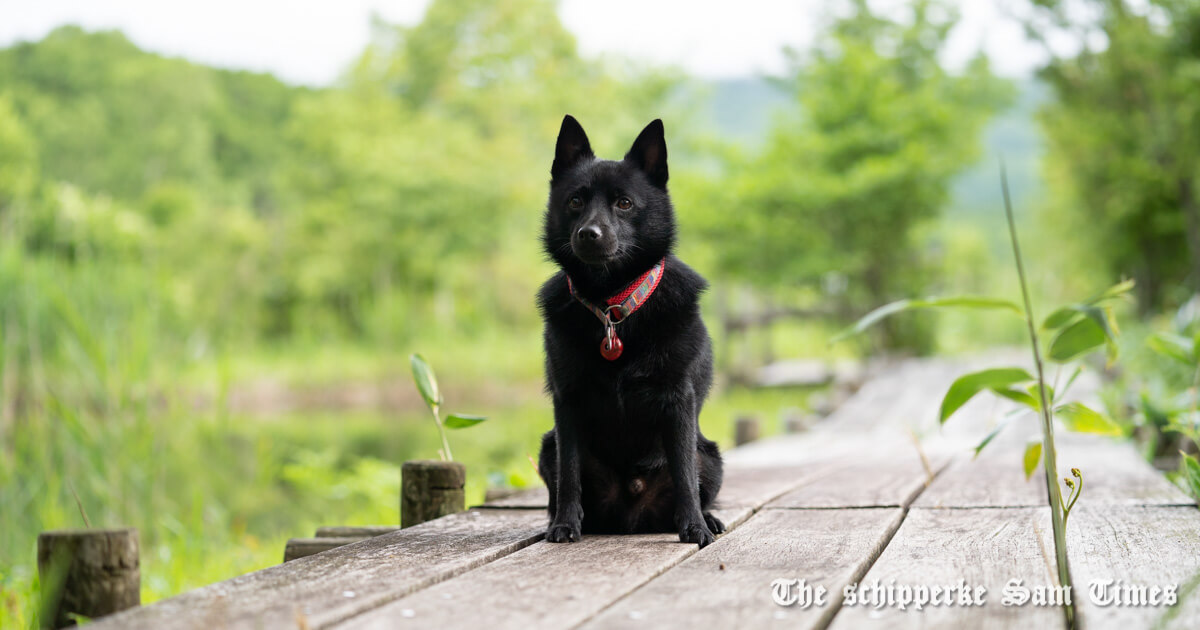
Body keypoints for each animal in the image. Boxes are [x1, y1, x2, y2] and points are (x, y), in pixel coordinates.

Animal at [537, 115, 720, 547]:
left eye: (624, 203)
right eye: (575, 201)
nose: (589, 234)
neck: (612, 309)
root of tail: (631, 516)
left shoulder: (678, 401)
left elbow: (685, 475)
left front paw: (695, 527)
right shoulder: (567, 405)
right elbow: (569, 475)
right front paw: (565, 525)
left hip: (711, 457)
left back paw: (709, 518)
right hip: (547, 447)